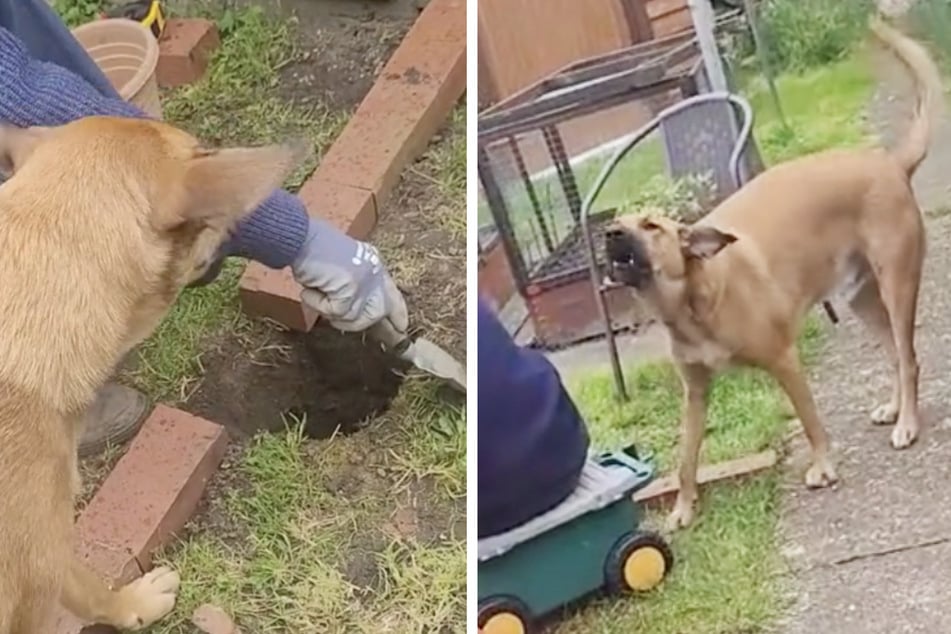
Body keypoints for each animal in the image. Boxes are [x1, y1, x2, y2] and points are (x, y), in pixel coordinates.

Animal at [608, 17, 940, 528]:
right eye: (617, 220)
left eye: (651, 226)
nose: (608, 233)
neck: (691, 301)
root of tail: (890, 163)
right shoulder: (694, 391)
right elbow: (686, 457)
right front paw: (683, 508)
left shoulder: (785, 360)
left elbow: (810, 422)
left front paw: (824, 466)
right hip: (863, 298)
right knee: (894, 356)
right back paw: (896, 408)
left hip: (897, 284)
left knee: (907, 357)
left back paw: (908, 423)